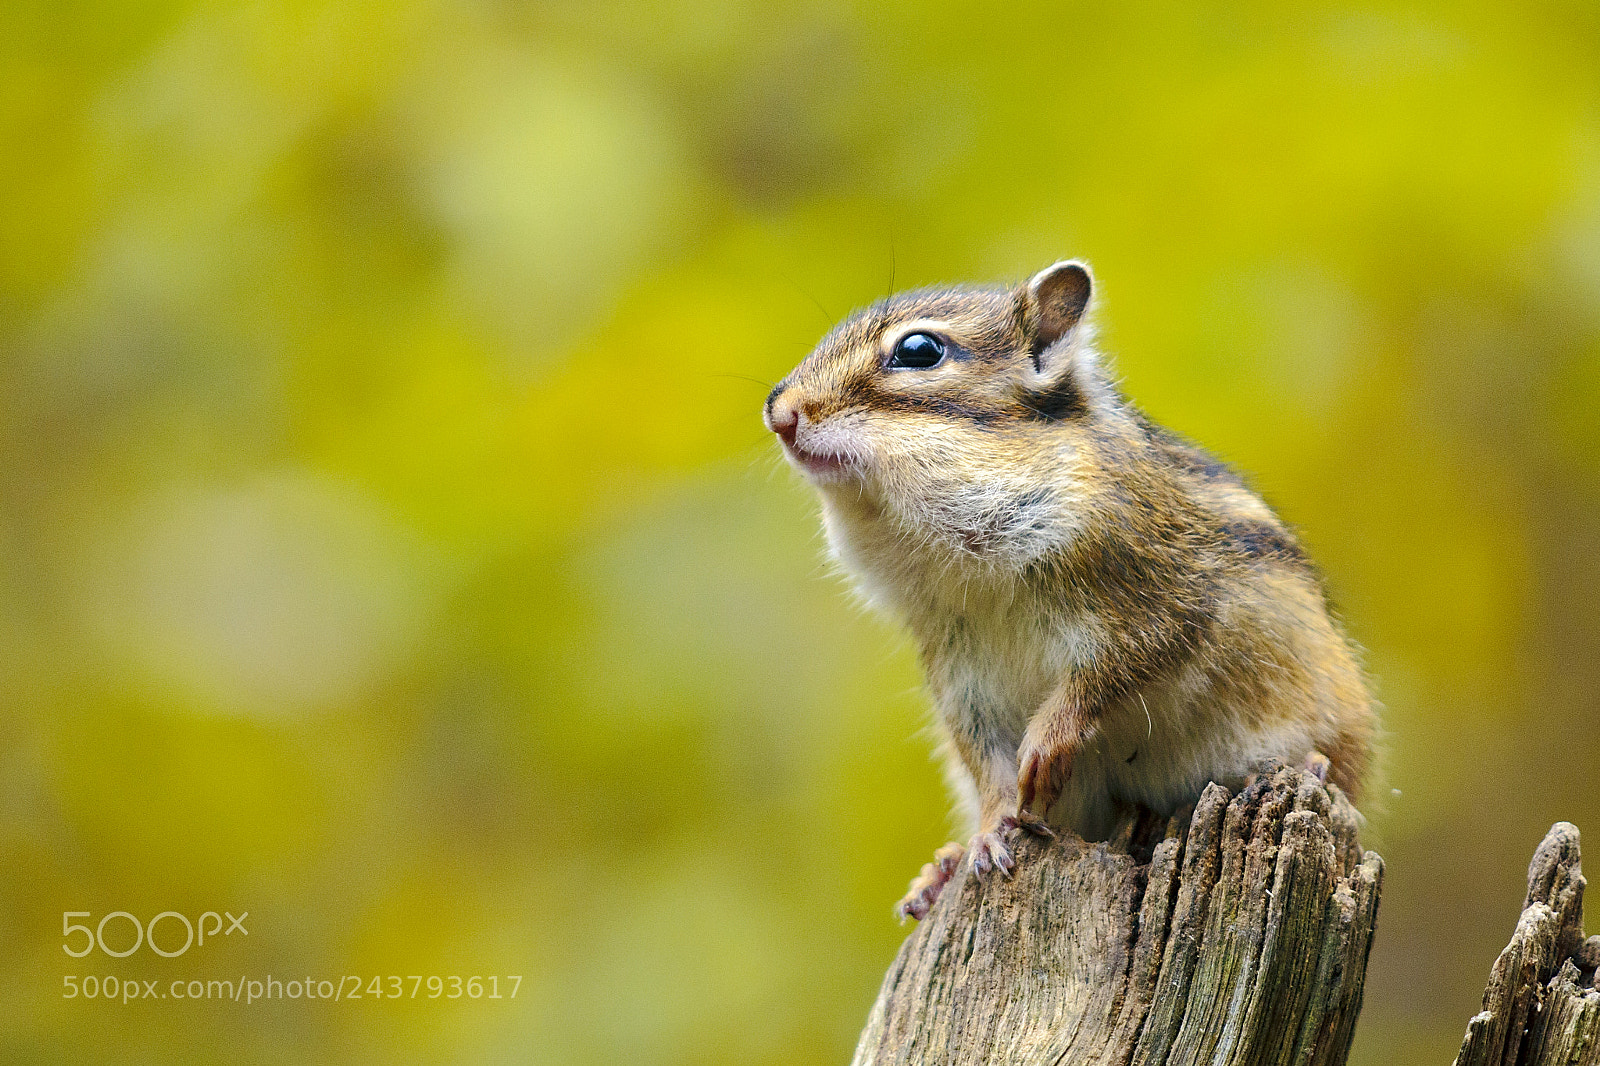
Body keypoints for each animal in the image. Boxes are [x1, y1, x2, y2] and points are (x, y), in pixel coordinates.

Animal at [762, 260, 1376, 922]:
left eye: (919, 350)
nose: (780, 413)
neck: (977, 572)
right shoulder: (959, 675)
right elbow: (986, 764)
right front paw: (988, 834)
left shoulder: (1165, 593)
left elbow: (1117, 669)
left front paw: (1047, 744)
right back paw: (937, 876)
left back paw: (1307, 763)